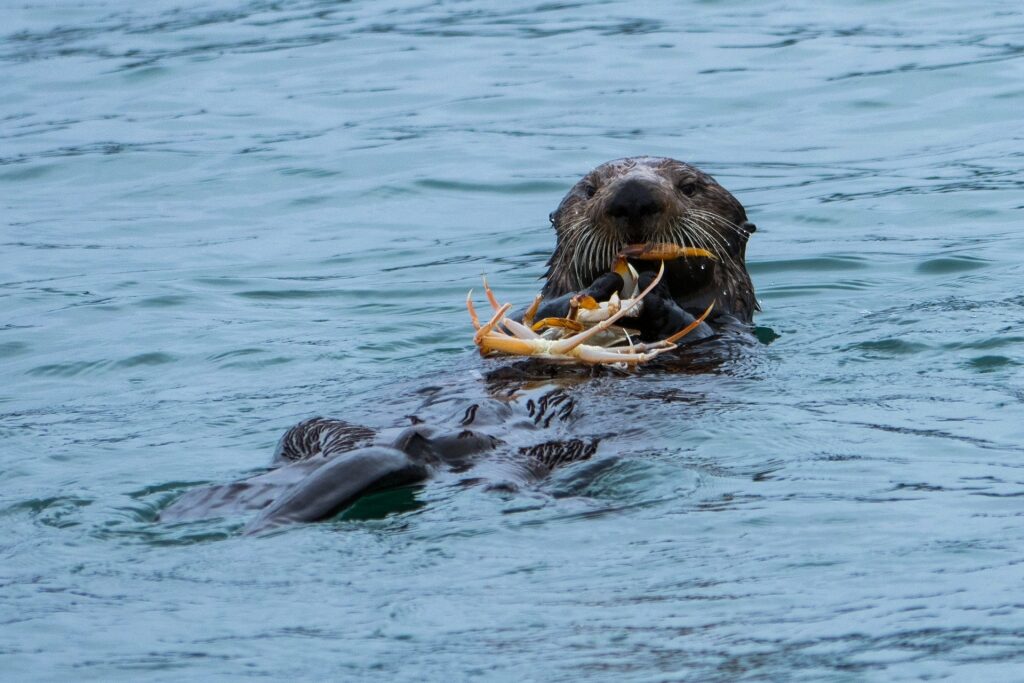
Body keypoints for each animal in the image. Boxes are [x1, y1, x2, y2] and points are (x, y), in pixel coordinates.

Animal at [155, 157, 757, 532]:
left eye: (690, 187)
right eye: (590, 189)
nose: (633, 195)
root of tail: (426, 447)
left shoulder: (729, 340)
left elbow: (700, 328)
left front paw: (651, 300)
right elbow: (521, 322)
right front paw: (588, 294)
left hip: (543, 456)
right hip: (316, 430)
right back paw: (207, 502)